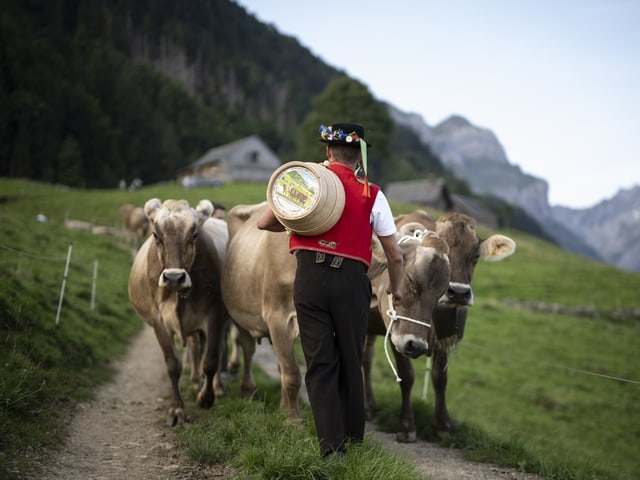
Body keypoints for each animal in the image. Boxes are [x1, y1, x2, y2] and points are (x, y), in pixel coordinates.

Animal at [127, 197, 228, 426]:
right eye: (156, 235)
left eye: (194, 234)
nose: (174, 277)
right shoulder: (158, 320)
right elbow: (173, 365)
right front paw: (176, 409)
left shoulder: (215, 316)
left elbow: (210, 361)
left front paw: (206, 398)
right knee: (194, 348)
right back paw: (195, 382)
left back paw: (217, 388)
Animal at [220, 202, 450, 420]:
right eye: (411, 280)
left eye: (441, 294)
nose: (416, 345)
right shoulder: (277, 317)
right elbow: (292, 374)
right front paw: (294, 420)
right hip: (239, 314)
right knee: (248, 347)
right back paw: (248, 391)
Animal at [362, 210, 516, 442]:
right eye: (447, 254)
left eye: (476, 256)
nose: (459, 293)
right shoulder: (398, 332)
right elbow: (406, 376)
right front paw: (407, 426)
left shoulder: (444, 337)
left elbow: (440, 378)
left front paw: (443, 425)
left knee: (366, 357)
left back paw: (370, 404)